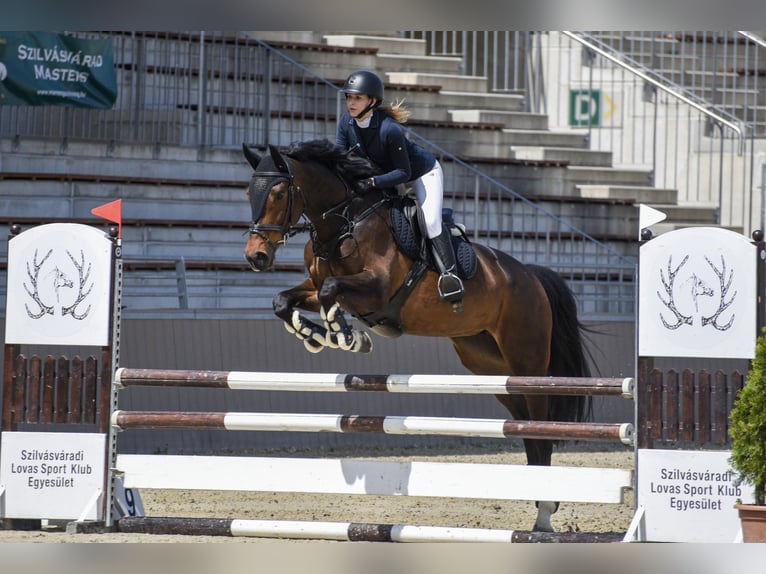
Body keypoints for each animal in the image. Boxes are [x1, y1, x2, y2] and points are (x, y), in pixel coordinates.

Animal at [242, 138, 593, 532]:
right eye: (248, 192)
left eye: (278, 193)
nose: (256, 256)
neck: (343, 224)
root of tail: (531, 275)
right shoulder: (316, 288)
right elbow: (285, 300)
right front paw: (315, 334)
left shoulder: (375, 289)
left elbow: (333, 291)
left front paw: (347, 335)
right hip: (489, 364)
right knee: (522, 426)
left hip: (527, 360)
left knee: (541, 426)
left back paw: (545, 514)